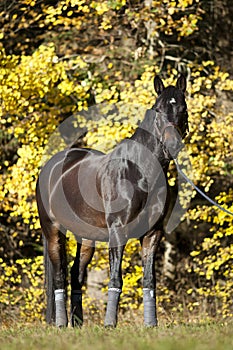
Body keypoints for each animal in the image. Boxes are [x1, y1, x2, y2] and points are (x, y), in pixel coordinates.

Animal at [36, 74, 189, 328]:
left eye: (183, 109)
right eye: (158, 110)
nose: (172, 145)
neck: (139, 172)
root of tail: (51, 166)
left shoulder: (153, 233)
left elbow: (149, 279)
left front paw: (151, 324)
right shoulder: (118, 231)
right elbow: (116, 276)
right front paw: (110, 324)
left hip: (87, 238)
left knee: (76, 275)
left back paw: (77, 323)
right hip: (53, 231)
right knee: (59, 276)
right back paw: (61, 323)